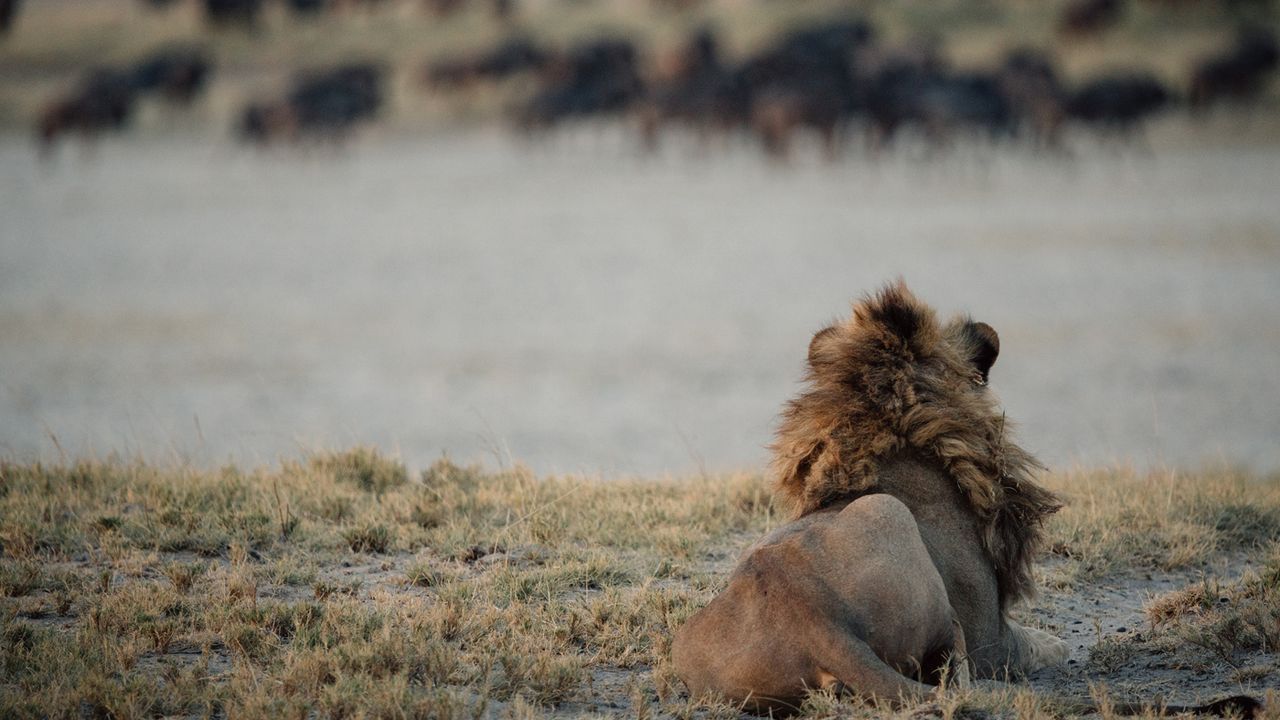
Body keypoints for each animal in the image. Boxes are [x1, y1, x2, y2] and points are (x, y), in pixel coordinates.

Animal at [672, 281, 1069, 714]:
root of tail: (813, 616)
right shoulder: (992, 638)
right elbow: (1041, 645)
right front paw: (1056, 644)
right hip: (889, 513)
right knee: (952, 667)